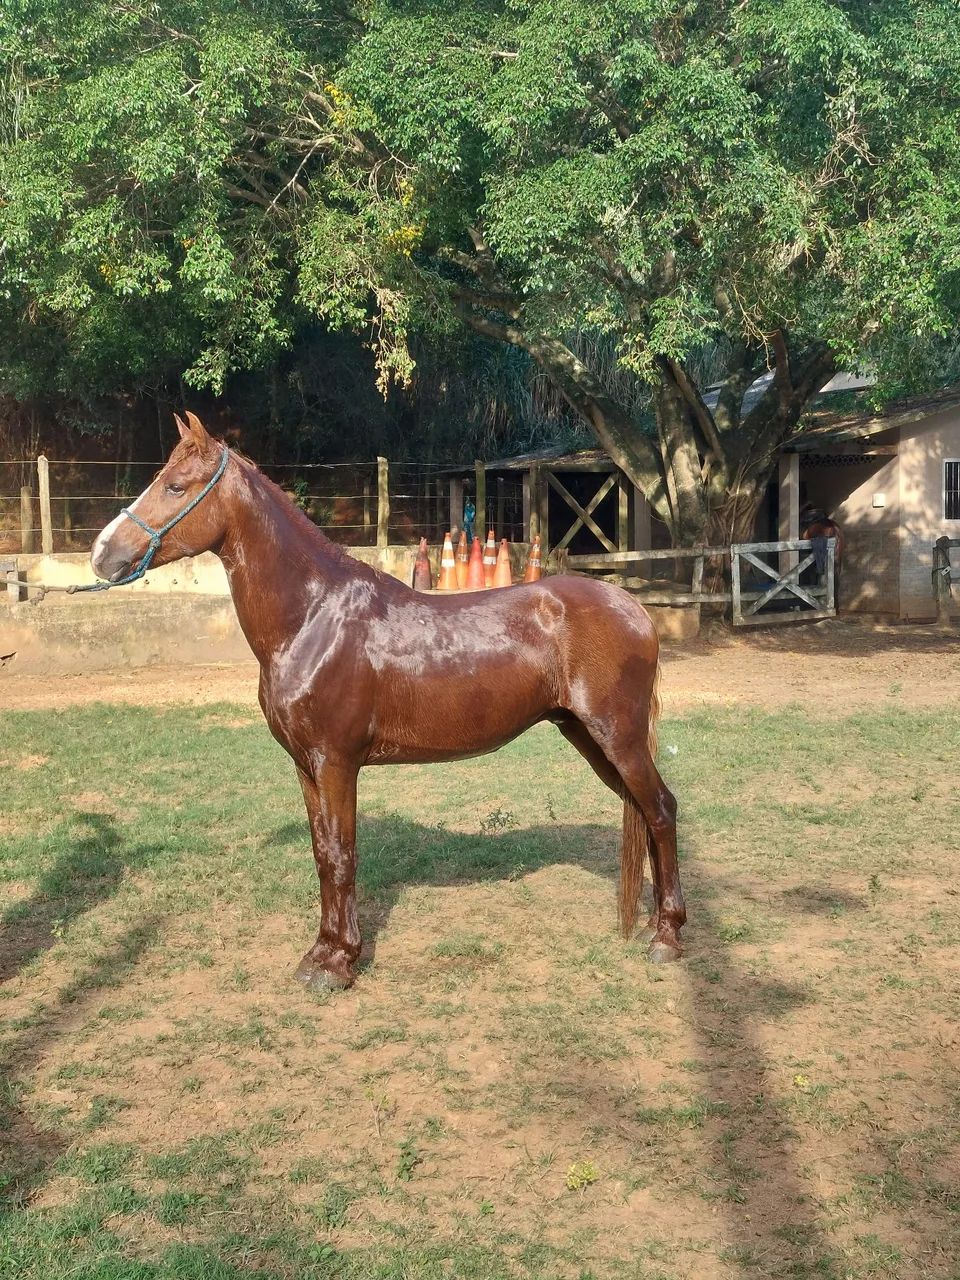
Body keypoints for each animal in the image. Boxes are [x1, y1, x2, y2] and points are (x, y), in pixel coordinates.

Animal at [90, 412, 683, 990]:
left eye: (175, 486)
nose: (102, 554)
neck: (312, 616)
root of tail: (634, 608)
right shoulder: (306, 766)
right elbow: (322, 855)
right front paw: (321, 953)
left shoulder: (335, 763)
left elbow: (341, 854)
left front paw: (338, 964)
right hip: (587, 736)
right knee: (643, 812)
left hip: (618, 736)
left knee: (661, 809)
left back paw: (667, 938)